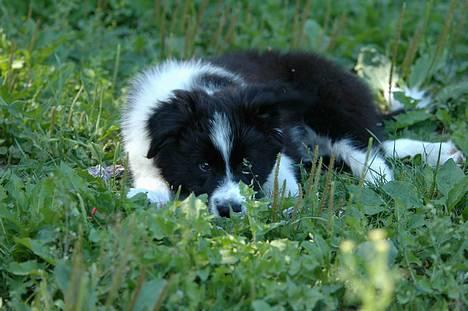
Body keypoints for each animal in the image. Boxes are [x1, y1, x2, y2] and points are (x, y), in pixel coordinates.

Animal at [121, 50, 464, 217]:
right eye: (203, 166)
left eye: (247, 163)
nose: (230, 210)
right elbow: (151, 175)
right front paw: (149, 194)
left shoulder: (279, 140)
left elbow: (281, 177)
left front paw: (285, 204)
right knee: (380, 144)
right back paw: (441, 153)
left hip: (332, 108)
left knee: (368, 149)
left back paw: (377, 183)